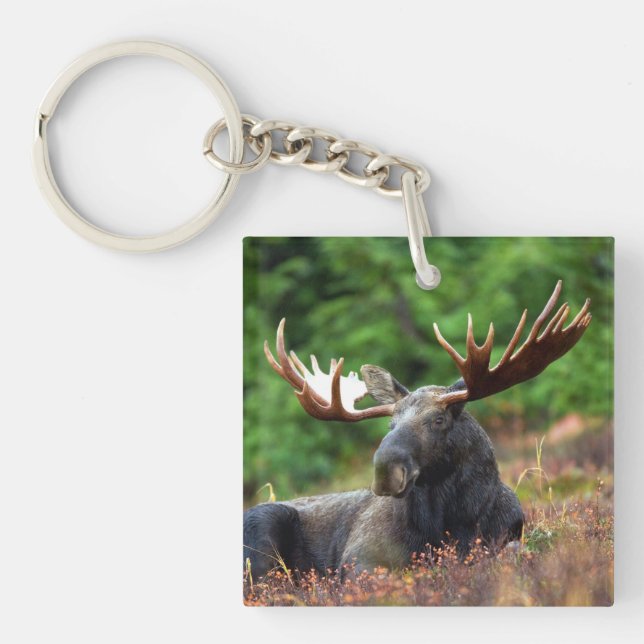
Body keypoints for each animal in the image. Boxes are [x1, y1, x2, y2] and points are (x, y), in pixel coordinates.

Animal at [243, 281, 591, 577]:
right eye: (391, 422)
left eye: (439, 419)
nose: (385, 471)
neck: (454, 523)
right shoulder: (359, 557)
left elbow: (514, 551)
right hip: (263, 525)